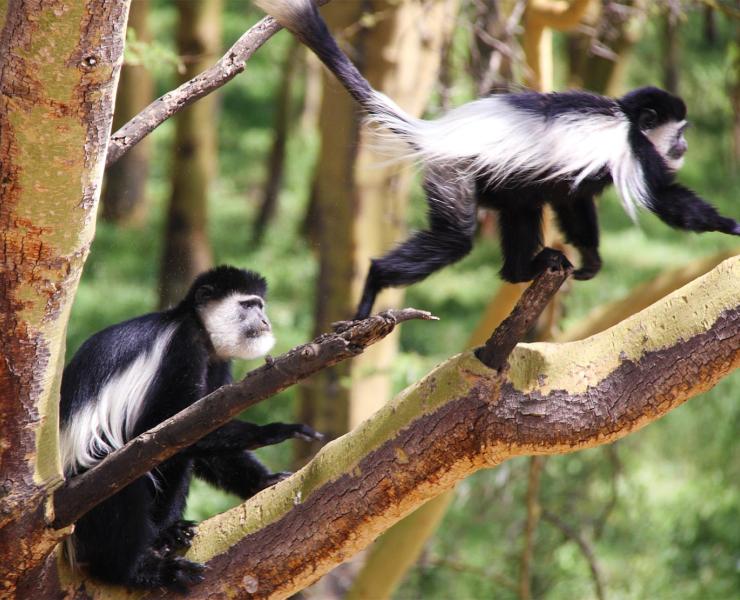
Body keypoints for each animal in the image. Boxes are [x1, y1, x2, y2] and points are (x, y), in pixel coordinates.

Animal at [59, 265, 323, 590]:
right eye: (248, 305)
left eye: (260, 306)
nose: (265, 321)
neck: (197, 325)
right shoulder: (182, 347)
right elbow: (160, 429)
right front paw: (272, 431)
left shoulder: (217, 364)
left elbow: (202, 427)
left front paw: (266, 480)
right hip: (86, 493)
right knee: (120, 486)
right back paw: (143, 571)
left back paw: (168, 534)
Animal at [256, 0, 740, 320]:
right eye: (679, 132)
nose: (683, 147)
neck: (626, 119)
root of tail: (437, 132)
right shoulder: (635, 151)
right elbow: (666, 201)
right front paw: (731, 225)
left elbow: (573, 205)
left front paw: (591, 261)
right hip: (454, 175)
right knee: (456, 239)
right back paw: (375, 283)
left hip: (502, 181)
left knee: (522, 210)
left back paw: (525, 269)